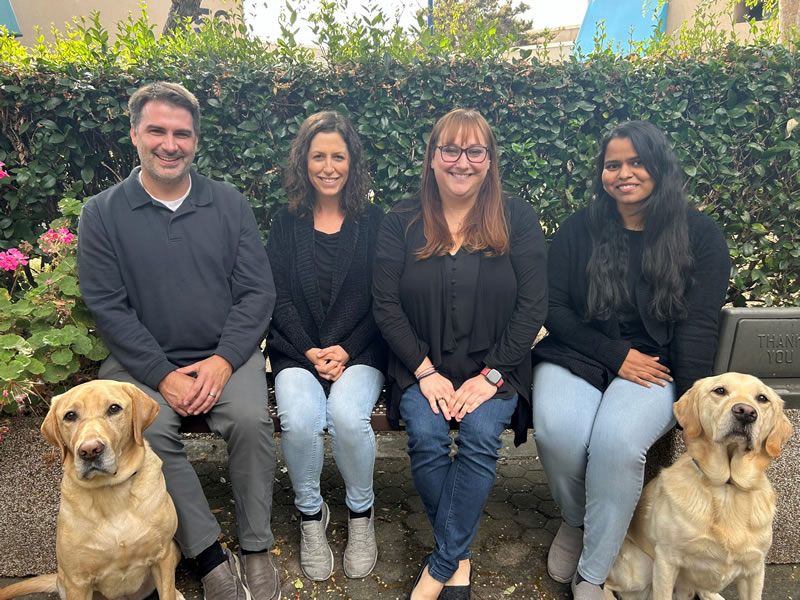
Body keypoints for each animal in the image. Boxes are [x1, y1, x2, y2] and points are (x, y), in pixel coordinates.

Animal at [0, 380, 183, 600]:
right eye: (70, 415)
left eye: (114, 408)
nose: (89, 450)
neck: (111, 492)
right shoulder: (77, 581)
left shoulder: (162, 556)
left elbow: (167, 591)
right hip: (65, 580)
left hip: (173, 550)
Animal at [608, 372, 792, 596]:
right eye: (720, 390)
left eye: (762, 398)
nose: (746, 412)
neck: (727, 486)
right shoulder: (666, 560)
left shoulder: (755, 569)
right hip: (642, 566)